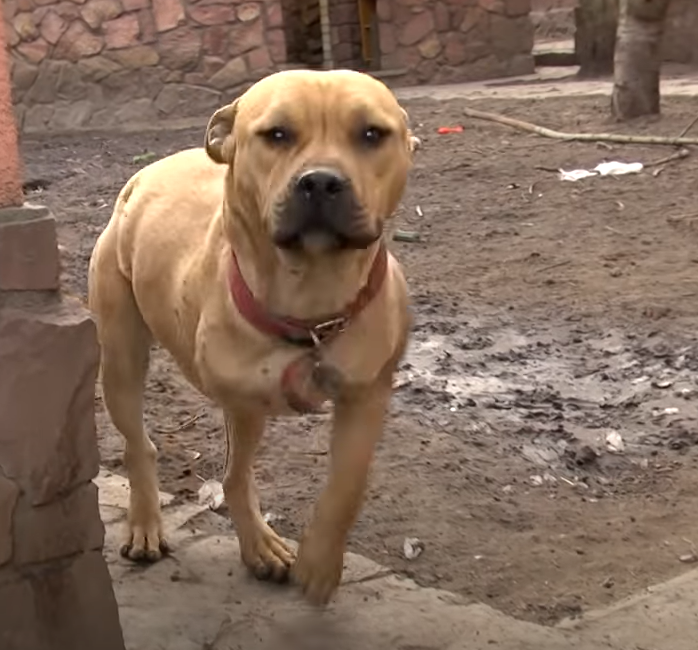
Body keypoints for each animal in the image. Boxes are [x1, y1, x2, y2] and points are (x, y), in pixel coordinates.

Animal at [87, 67, 414, 604]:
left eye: (372, 134)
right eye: (276, 134)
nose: (321, 180)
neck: (310, 297)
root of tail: (144, 175)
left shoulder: (367, 393)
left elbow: (347, 482)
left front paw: (319, 560)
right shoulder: (242, 404)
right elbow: (237, 477)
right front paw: (259, 545)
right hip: (120, 358)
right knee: (138, 443)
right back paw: (145, 522)